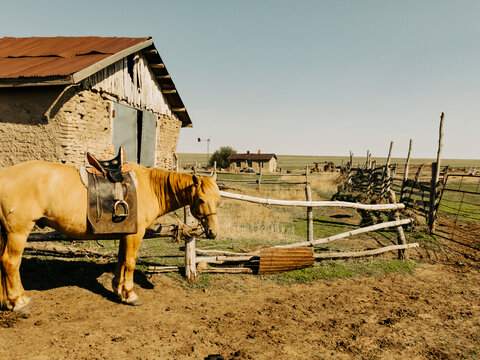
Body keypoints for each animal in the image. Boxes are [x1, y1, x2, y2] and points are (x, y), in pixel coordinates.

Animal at [0, 160, 220, 312]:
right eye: (201, 199)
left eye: (218, 199)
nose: (213, 232)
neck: (149, 187)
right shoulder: (136, 234)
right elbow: (130, 262)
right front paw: (130, 294)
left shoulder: (126, 233)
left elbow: (121, 260)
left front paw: (118, 288)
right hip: (18, 232)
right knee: (10, 262)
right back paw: (19, 301)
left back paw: (7, 301)